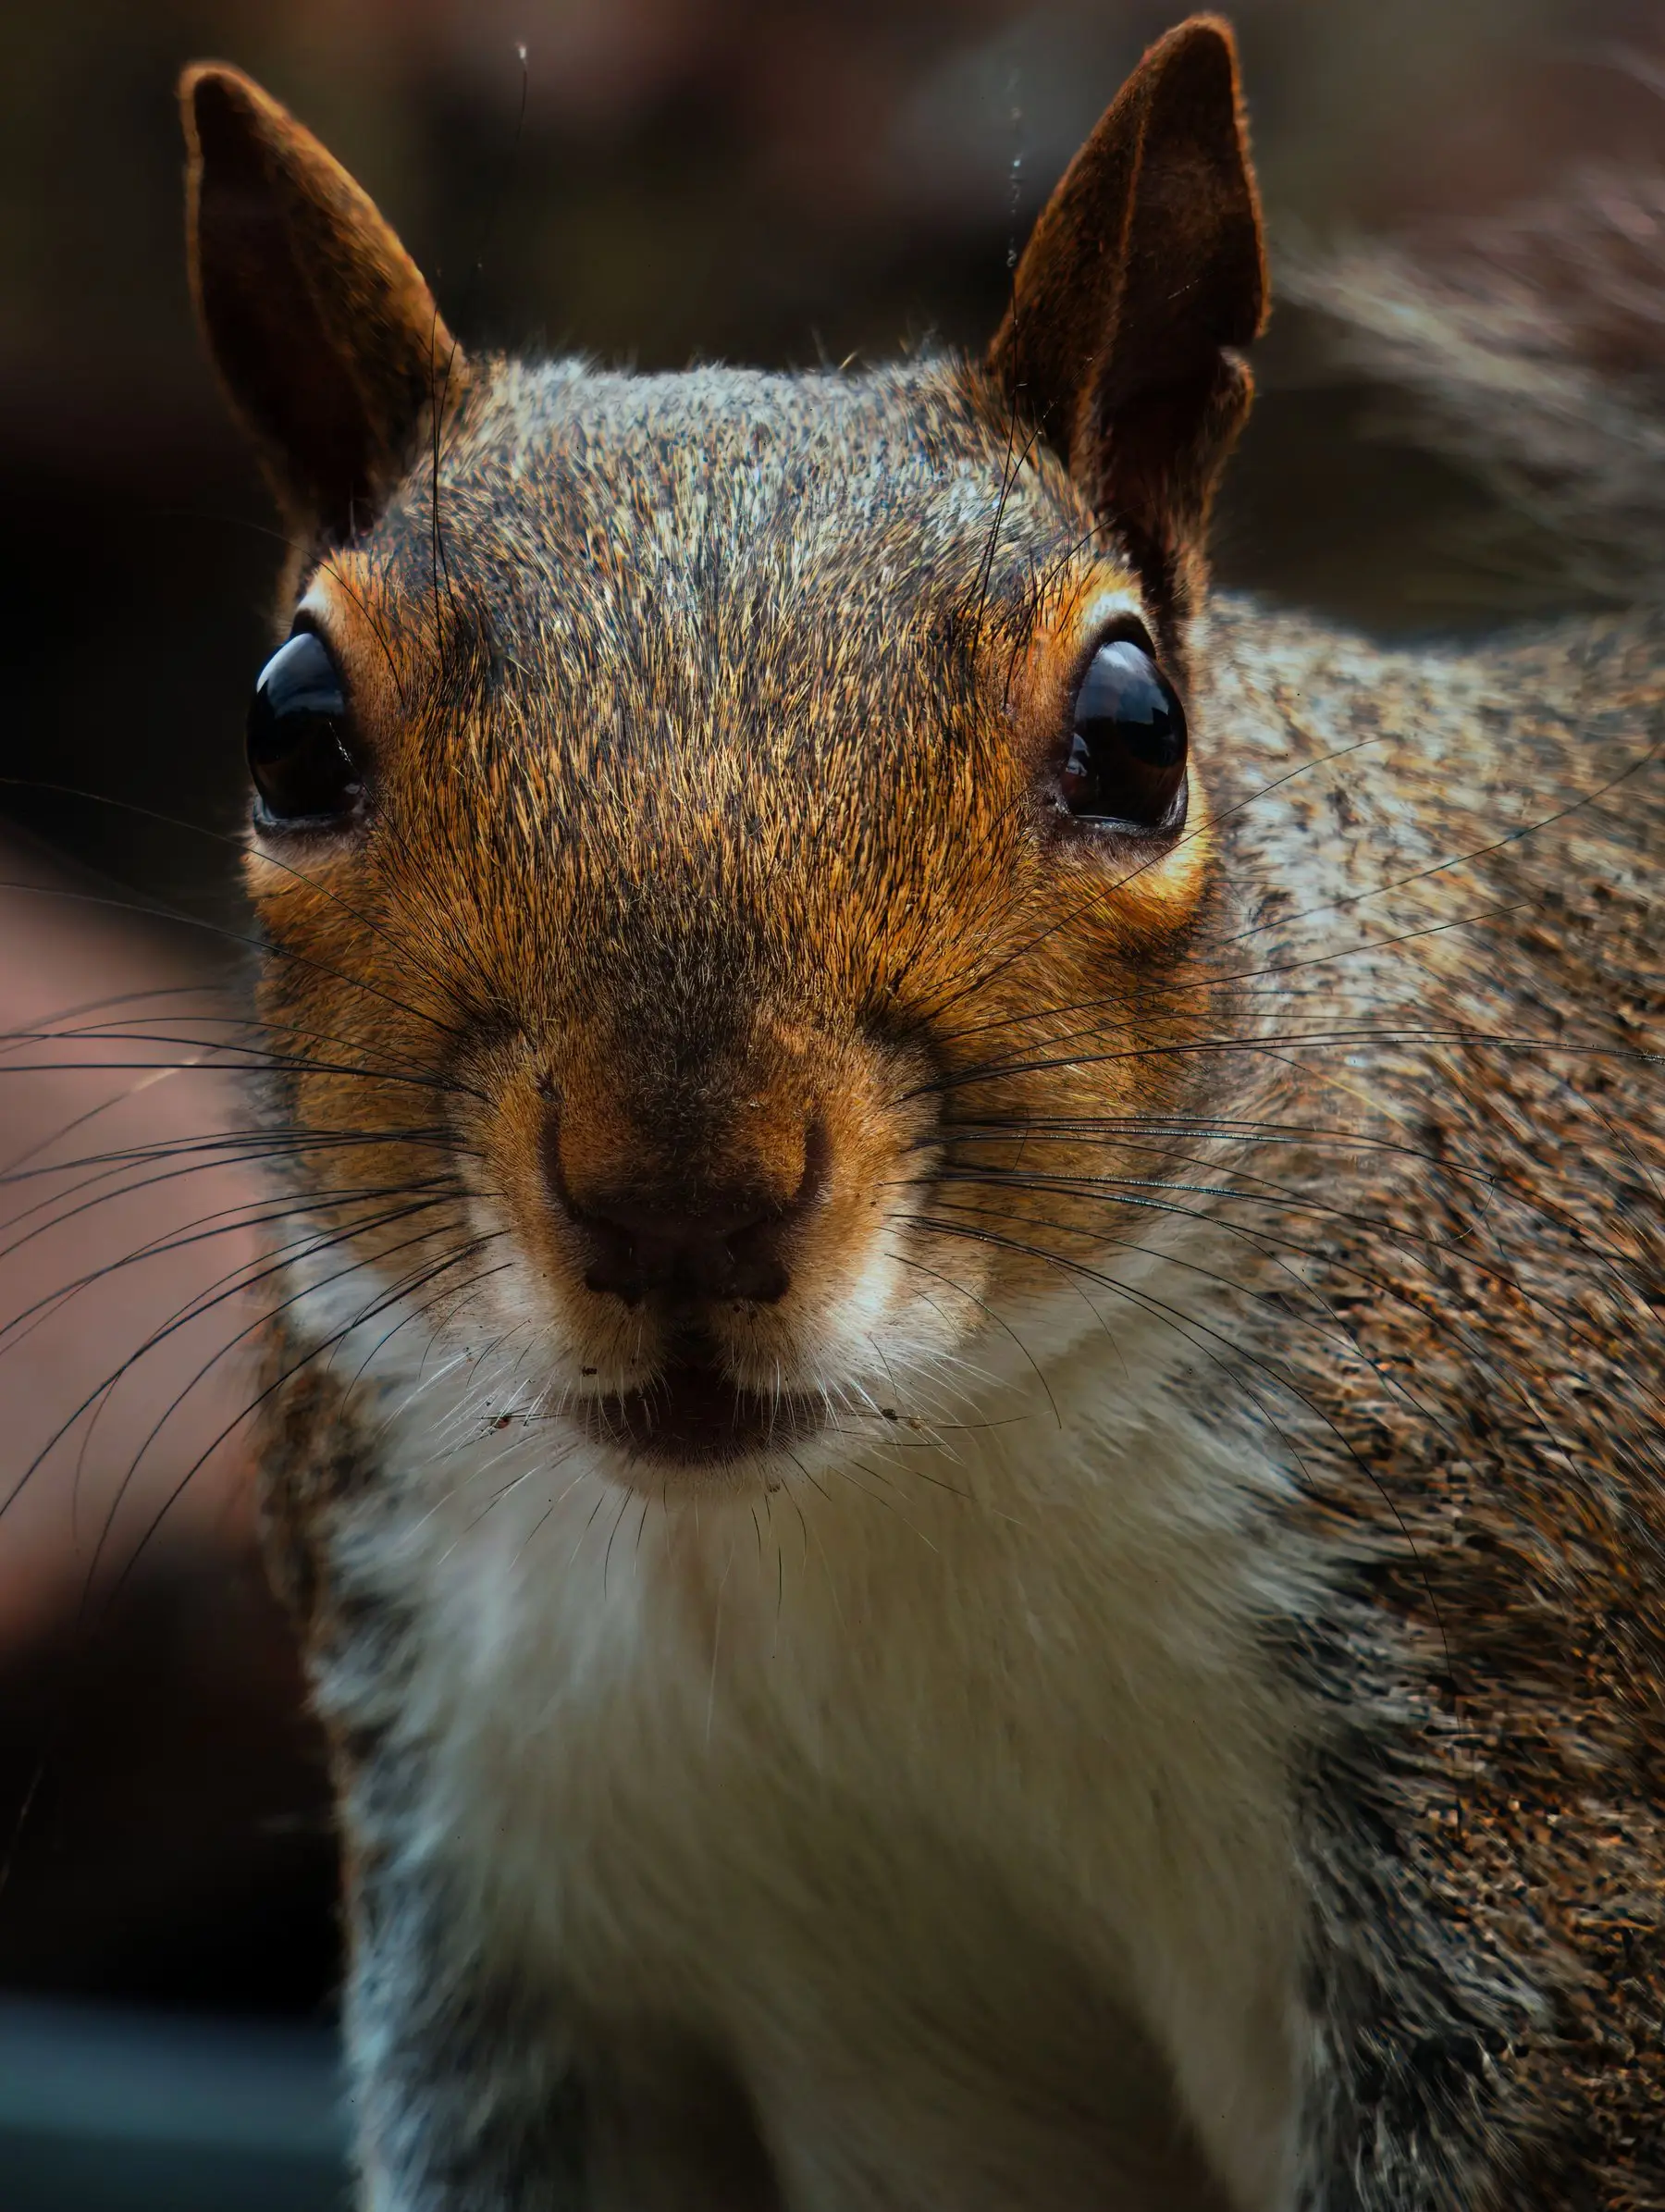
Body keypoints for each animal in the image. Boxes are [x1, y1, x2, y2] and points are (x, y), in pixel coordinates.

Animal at [169, 15, 1663, 2209]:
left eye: (1136, 737)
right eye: (290, 732)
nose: (680, 1199)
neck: (842, 1512)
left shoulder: (1512, 1771)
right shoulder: (491, 1873)